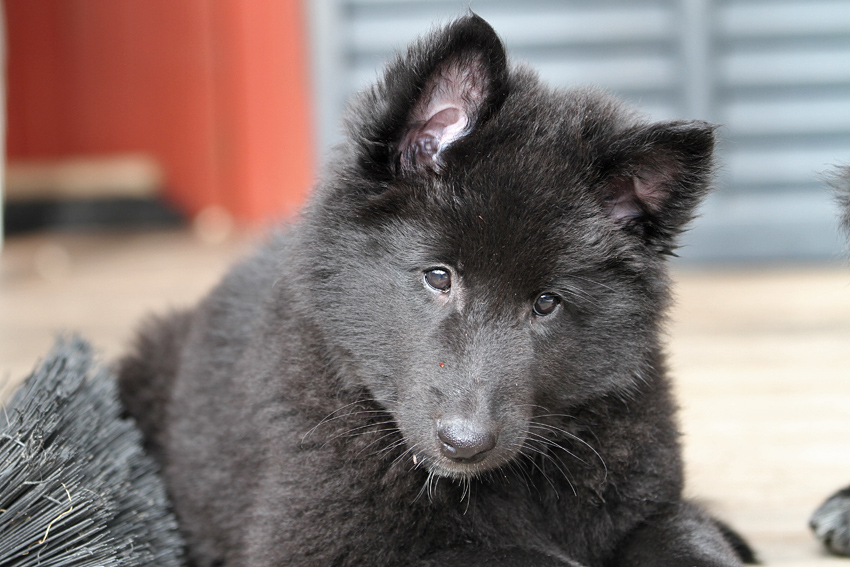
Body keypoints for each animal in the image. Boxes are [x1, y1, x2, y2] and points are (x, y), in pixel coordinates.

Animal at [117, 15, 748, 564]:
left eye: (546, 303)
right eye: (438, 277)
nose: (466, 443)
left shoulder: (646, 502)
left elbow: (689, 533)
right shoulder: (319, 538)